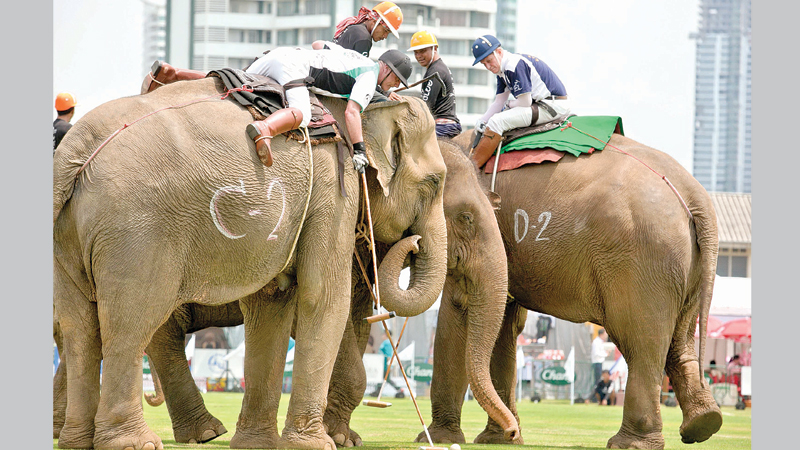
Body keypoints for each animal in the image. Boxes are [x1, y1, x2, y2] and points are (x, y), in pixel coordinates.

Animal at [52, 76, 449, 450]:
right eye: (433, 183)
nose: (413, 243)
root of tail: (75, 148)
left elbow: (270, 303)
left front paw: (257, 443)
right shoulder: (334, 192)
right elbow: (323, 298)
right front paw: (315, 445)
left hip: (70, 237)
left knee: (80, 330)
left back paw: (79, 441)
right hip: (138, 234)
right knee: (131, 325)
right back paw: (139, 442)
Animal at [415, 130, 723, 449]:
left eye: (466, 218)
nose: (511, 431)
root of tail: (696, 196)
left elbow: (457, 310)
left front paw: (439, 438)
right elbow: (504, 324)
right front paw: (500, 439)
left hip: (641, 260)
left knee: (641, 344)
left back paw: (629, 443)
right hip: (685, 267)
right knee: (679, 340)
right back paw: (704, 423)